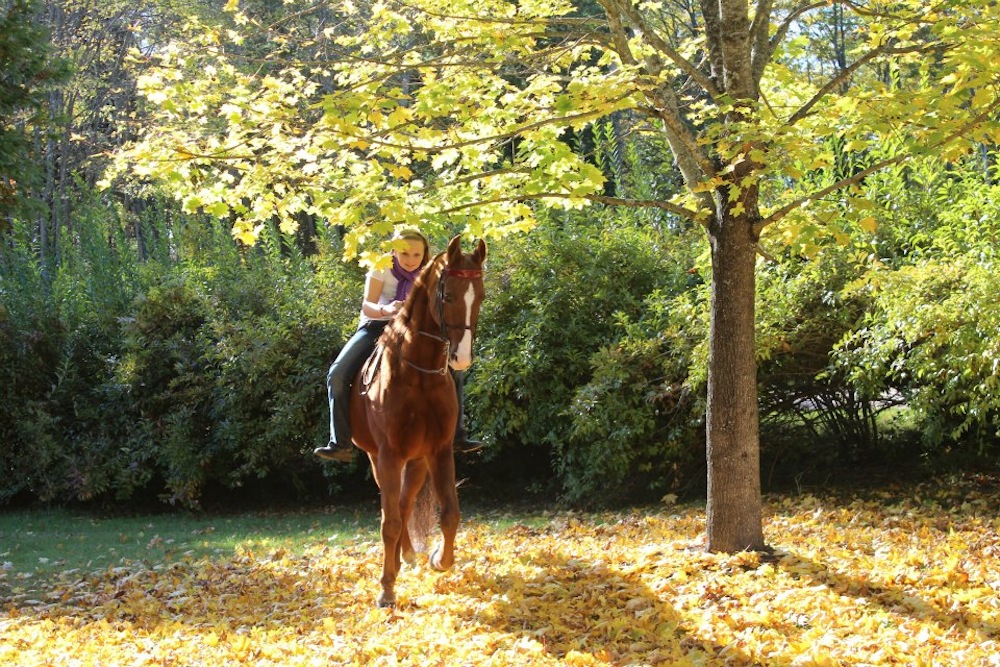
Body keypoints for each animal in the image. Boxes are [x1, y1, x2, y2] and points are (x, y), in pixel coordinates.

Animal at [350, 236, 486, 612]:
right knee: (394, 510)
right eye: (448, 295)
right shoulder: (388, 455)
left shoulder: (439, 451)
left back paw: (406, 557)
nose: (461, 358)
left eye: (481, 296)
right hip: (379, 459)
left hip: (417, 462)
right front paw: (386, 589)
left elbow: (450, 513)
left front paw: (440, 558)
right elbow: (389, 522)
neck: (419, 373)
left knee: (405, 502)